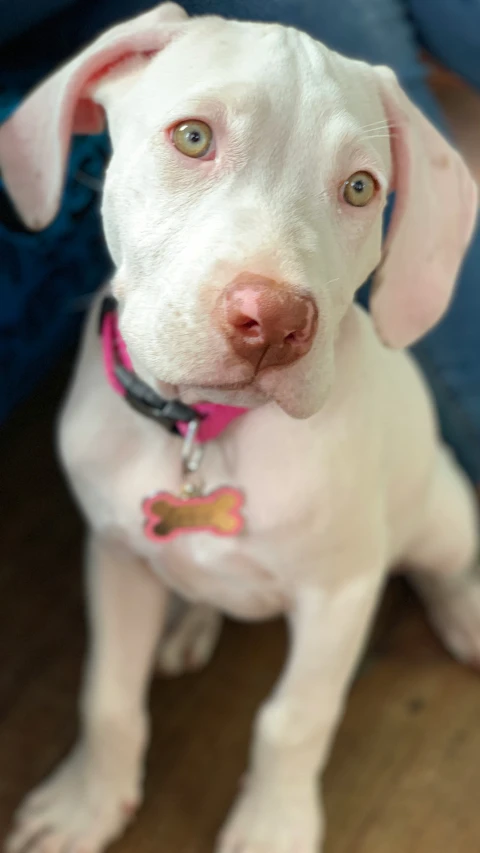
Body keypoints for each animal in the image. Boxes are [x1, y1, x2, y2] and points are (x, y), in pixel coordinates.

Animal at [1, 1, 478, 852]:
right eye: (193, 137)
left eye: (361, 188)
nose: (277, 322)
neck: (205, 431)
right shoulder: (114, 554)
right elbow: (107, 696)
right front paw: (88, 800)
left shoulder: (340, 594)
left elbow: (293, 719)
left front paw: (272, 824)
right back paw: (186, 620)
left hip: (441, 514)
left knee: (444, 564)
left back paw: (466, 613)